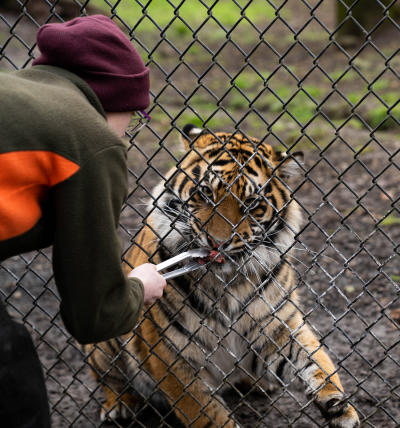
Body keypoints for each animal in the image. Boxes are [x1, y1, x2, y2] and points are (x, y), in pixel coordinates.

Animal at [86, 124, 360, 428]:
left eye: (251, 204)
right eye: (205, 192)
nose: (217, 242)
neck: (228, 282)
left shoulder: (278, 325)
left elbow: (315, 358)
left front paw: (338, 405)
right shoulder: (171, 355)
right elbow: (206, 413)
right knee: (109, 379)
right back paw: (120, 405)